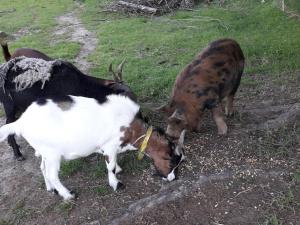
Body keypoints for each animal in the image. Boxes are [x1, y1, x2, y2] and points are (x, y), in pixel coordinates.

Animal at [0, 94, 185, 200]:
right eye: (171, 161)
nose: (173, 178)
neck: (131, 127)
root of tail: (21, 122)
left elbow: (114, 162)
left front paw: (119, 170)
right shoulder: (109, 145)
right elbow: (110, 166)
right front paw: (116, 183)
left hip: (45, 151)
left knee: (43, 168)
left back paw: (51, 189)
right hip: (53, 154)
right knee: (53, 174)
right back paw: (68, 195)